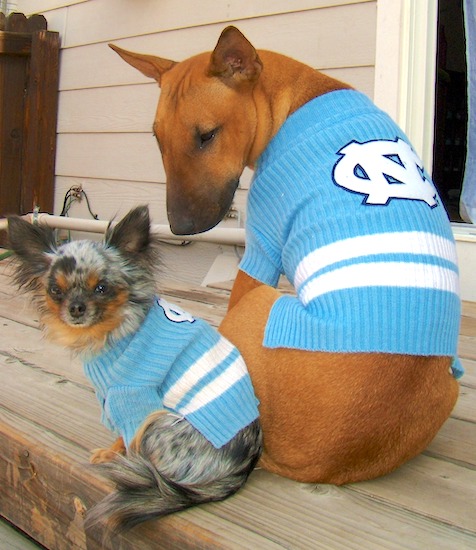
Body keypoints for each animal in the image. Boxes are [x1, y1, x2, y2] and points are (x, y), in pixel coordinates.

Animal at [110, 28, 462, 486]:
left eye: (207, 135)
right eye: (157, 139)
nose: (180, 227)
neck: (294, 95)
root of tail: (318, 466)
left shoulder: (260, 248)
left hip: (259, 305)